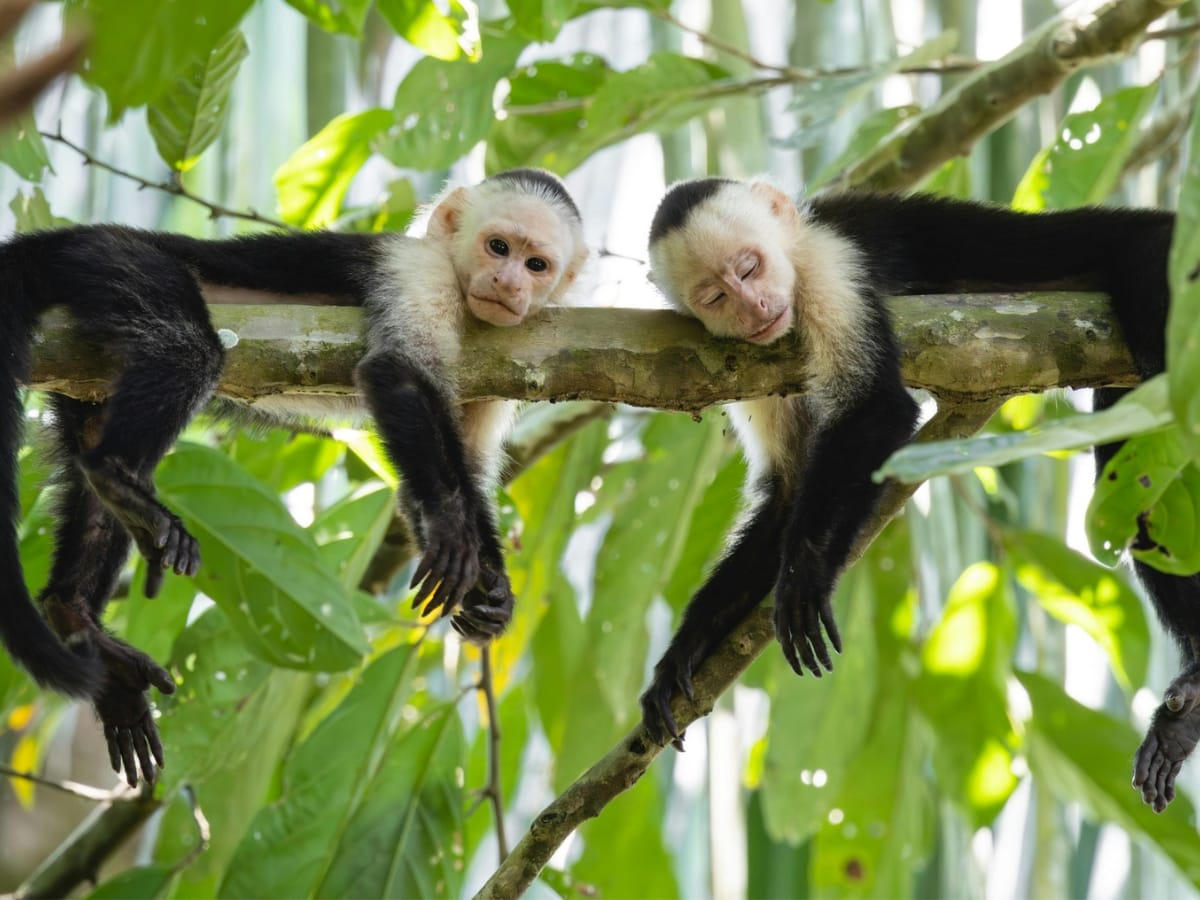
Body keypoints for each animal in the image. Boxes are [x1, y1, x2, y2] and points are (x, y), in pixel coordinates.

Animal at [0, 169, 590, 787]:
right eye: (497, 247)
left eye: (536, 265)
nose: (508, 282)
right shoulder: (416, 270)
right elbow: (397, 371)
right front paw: (455, 531)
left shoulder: (505, 354)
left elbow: (453, 476)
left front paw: (492, 591)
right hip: (112, 260)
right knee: (186, 346)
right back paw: (117, 476)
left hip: (82, 372)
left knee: (92, 445)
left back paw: (76, 613)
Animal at [648, 180, 1190, 816]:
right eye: (714, 296)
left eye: (750, 267)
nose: (754, 307)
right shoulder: (754, 361)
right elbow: (787, 495)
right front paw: (685, 648)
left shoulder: (832, 267)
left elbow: (878, 409)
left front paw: (806, 574)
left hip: (1165, 260)